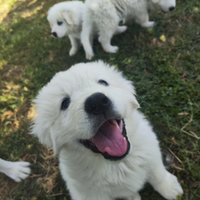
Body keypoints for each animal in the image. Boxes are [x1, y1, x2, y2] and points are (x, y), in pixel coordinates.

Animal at [30, 61, 183, 200]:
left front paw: (171, 188)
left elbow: (157, 172)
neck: (118, 165)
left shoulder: (150, 149)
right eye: (65, 103)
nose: (97, 102)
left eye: (103, 83)